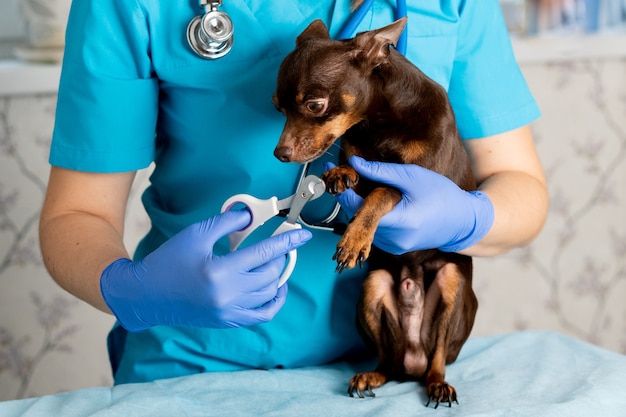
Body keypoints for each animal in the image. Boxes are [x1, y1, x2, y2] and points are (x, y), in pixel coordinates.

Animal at [270, 16, 478, 406]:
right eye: (278, 108)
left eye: (315, 105)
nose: (280, 154)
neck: (379, 123)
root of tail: (414, 359)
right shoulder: (361, 156)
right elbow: (358, 170)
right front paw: (340, 173)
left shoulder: (410, 184)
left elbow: (380, 193)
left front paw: (355, 239)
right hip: (374, 287)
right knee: (387, 363)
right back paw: (372, 375)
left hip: (451, 286)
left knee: (439, 359)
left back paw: (438, 383)